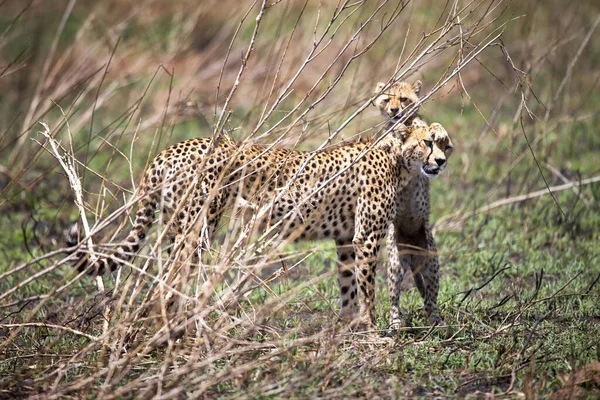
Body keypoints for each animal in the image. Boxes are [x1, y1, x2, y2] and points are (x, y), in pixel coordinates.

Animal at [67, 116, 450, 328]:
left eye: (444, 143)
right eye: (428, 142)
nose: (442, 162)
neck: (396, 156)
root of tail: (171, 149)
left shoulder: (345, 240)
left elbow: (348, 287)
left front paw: (348, 326)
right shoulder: (366, 238)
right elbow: (367, 290)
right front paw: (371, 331)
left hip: (178, 229)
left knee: (164, 280)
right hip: (197, 231)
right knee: (170, 280)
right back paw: (175, 330)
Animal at [372, 79, 452, 326]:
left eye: (404, 99)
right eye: (386, 99)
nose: (394, 110)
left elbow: (430, 125)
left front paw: (437, 130)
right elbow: (386, 141)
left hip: (431, 263)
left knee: (431, 296)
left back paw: (436, 320)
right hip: (396, 264)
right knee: (394, 297)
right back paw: (395, 323)